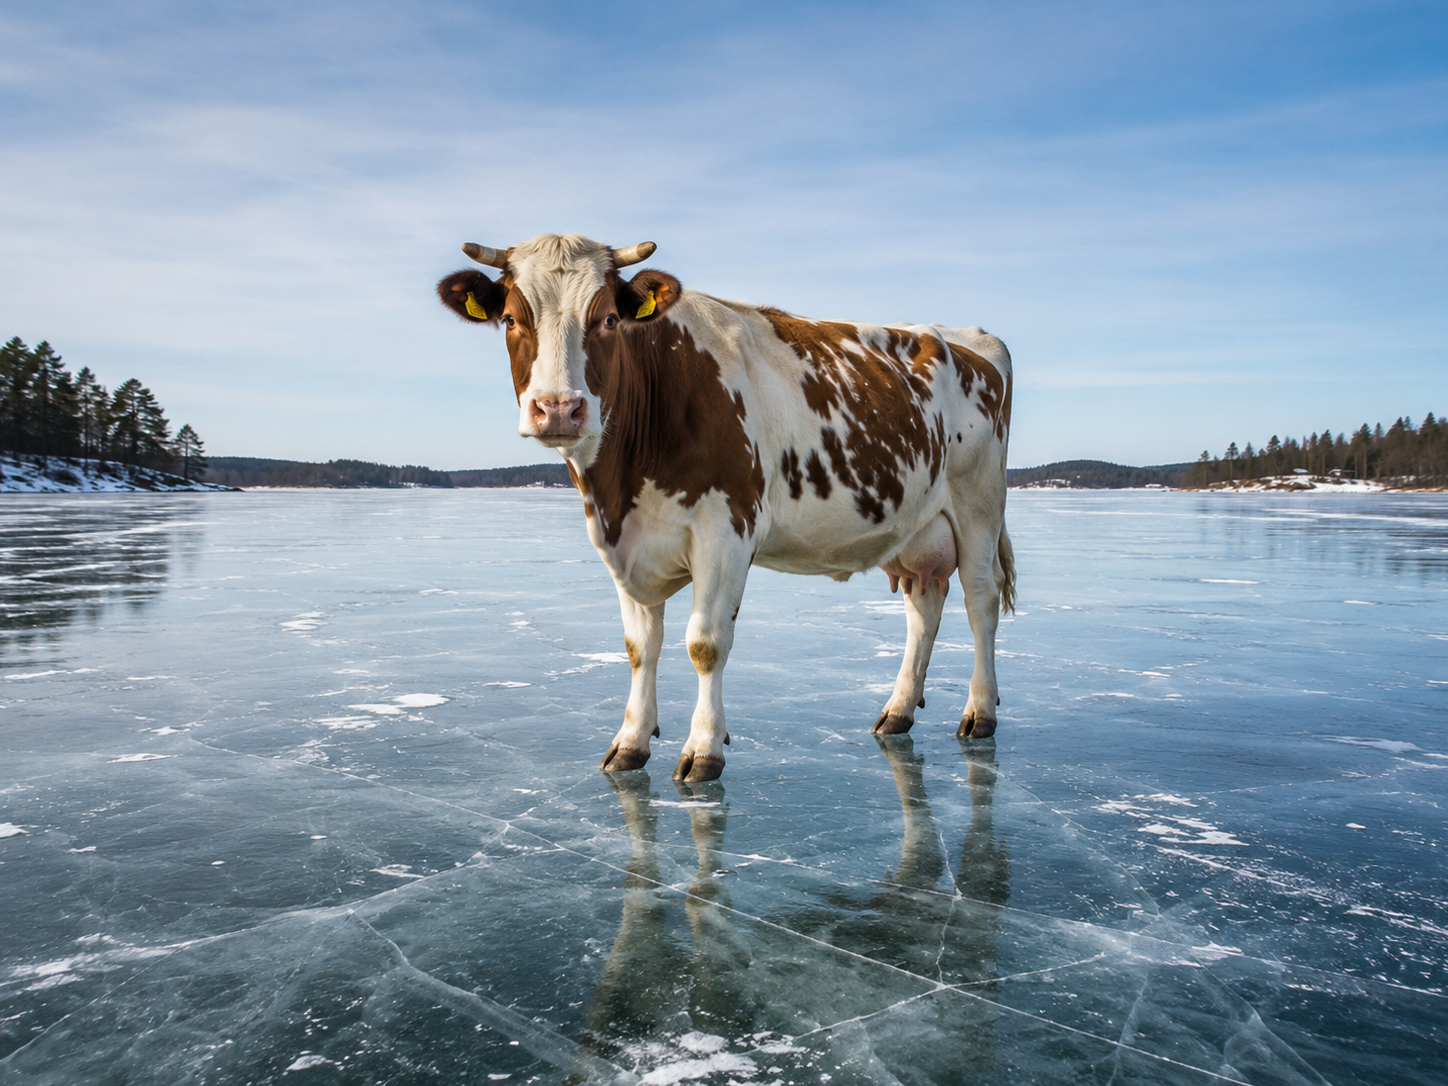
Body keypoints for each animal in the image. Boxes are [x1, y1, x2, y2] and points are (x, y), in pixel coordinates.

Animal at [437, 234, 1014, 782]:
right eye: (511, 319)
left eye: (607, 319)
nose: (558, 409)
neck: (620, 486)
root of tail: (965, 334)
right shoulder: (623, 541)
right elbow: (639, 647)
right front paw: (630, 743)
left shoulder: (726, 532)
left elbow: (705, 645)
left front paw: (703, 750)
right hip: (918, 526)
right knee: (924, 606)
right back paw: (897, 712)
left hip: (979, 506)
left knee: (980, 602)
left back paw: (980, 713)